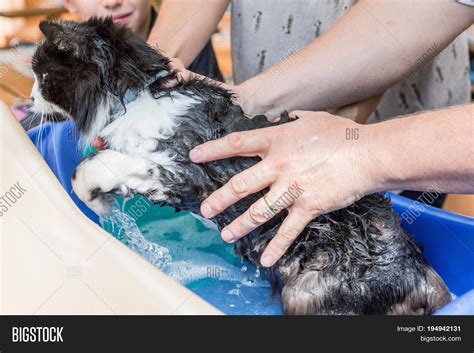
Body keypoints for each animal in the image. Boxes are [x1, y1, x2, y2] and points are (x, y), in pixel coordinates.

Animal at [31, 17, 450, 314]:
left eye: (43, 76)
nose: (31, 99)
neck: (137, 95)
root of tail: (422, 276)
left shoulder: (181, 169)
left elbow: (94, 167)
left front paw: (94, 199)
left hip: (307, 291)